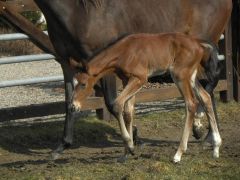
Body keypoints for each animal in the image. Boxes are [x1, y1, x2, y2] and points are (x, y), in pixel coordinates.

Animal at [71, 32, 221, 163]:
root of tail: (198, 42)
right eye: (73, 83)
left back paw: (178, 154)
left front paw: (130, 145)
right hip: (191, 76)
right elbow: (128, 112)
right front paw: (126, 153)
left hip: (180, 75)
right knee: (206, 98)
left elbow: (117, 104)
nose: (73, 106)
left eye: (83, 84)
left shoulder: (140, 78)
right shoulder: (127, 80)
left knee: (191, 103)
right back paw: (216, 147)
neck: (124, 51)